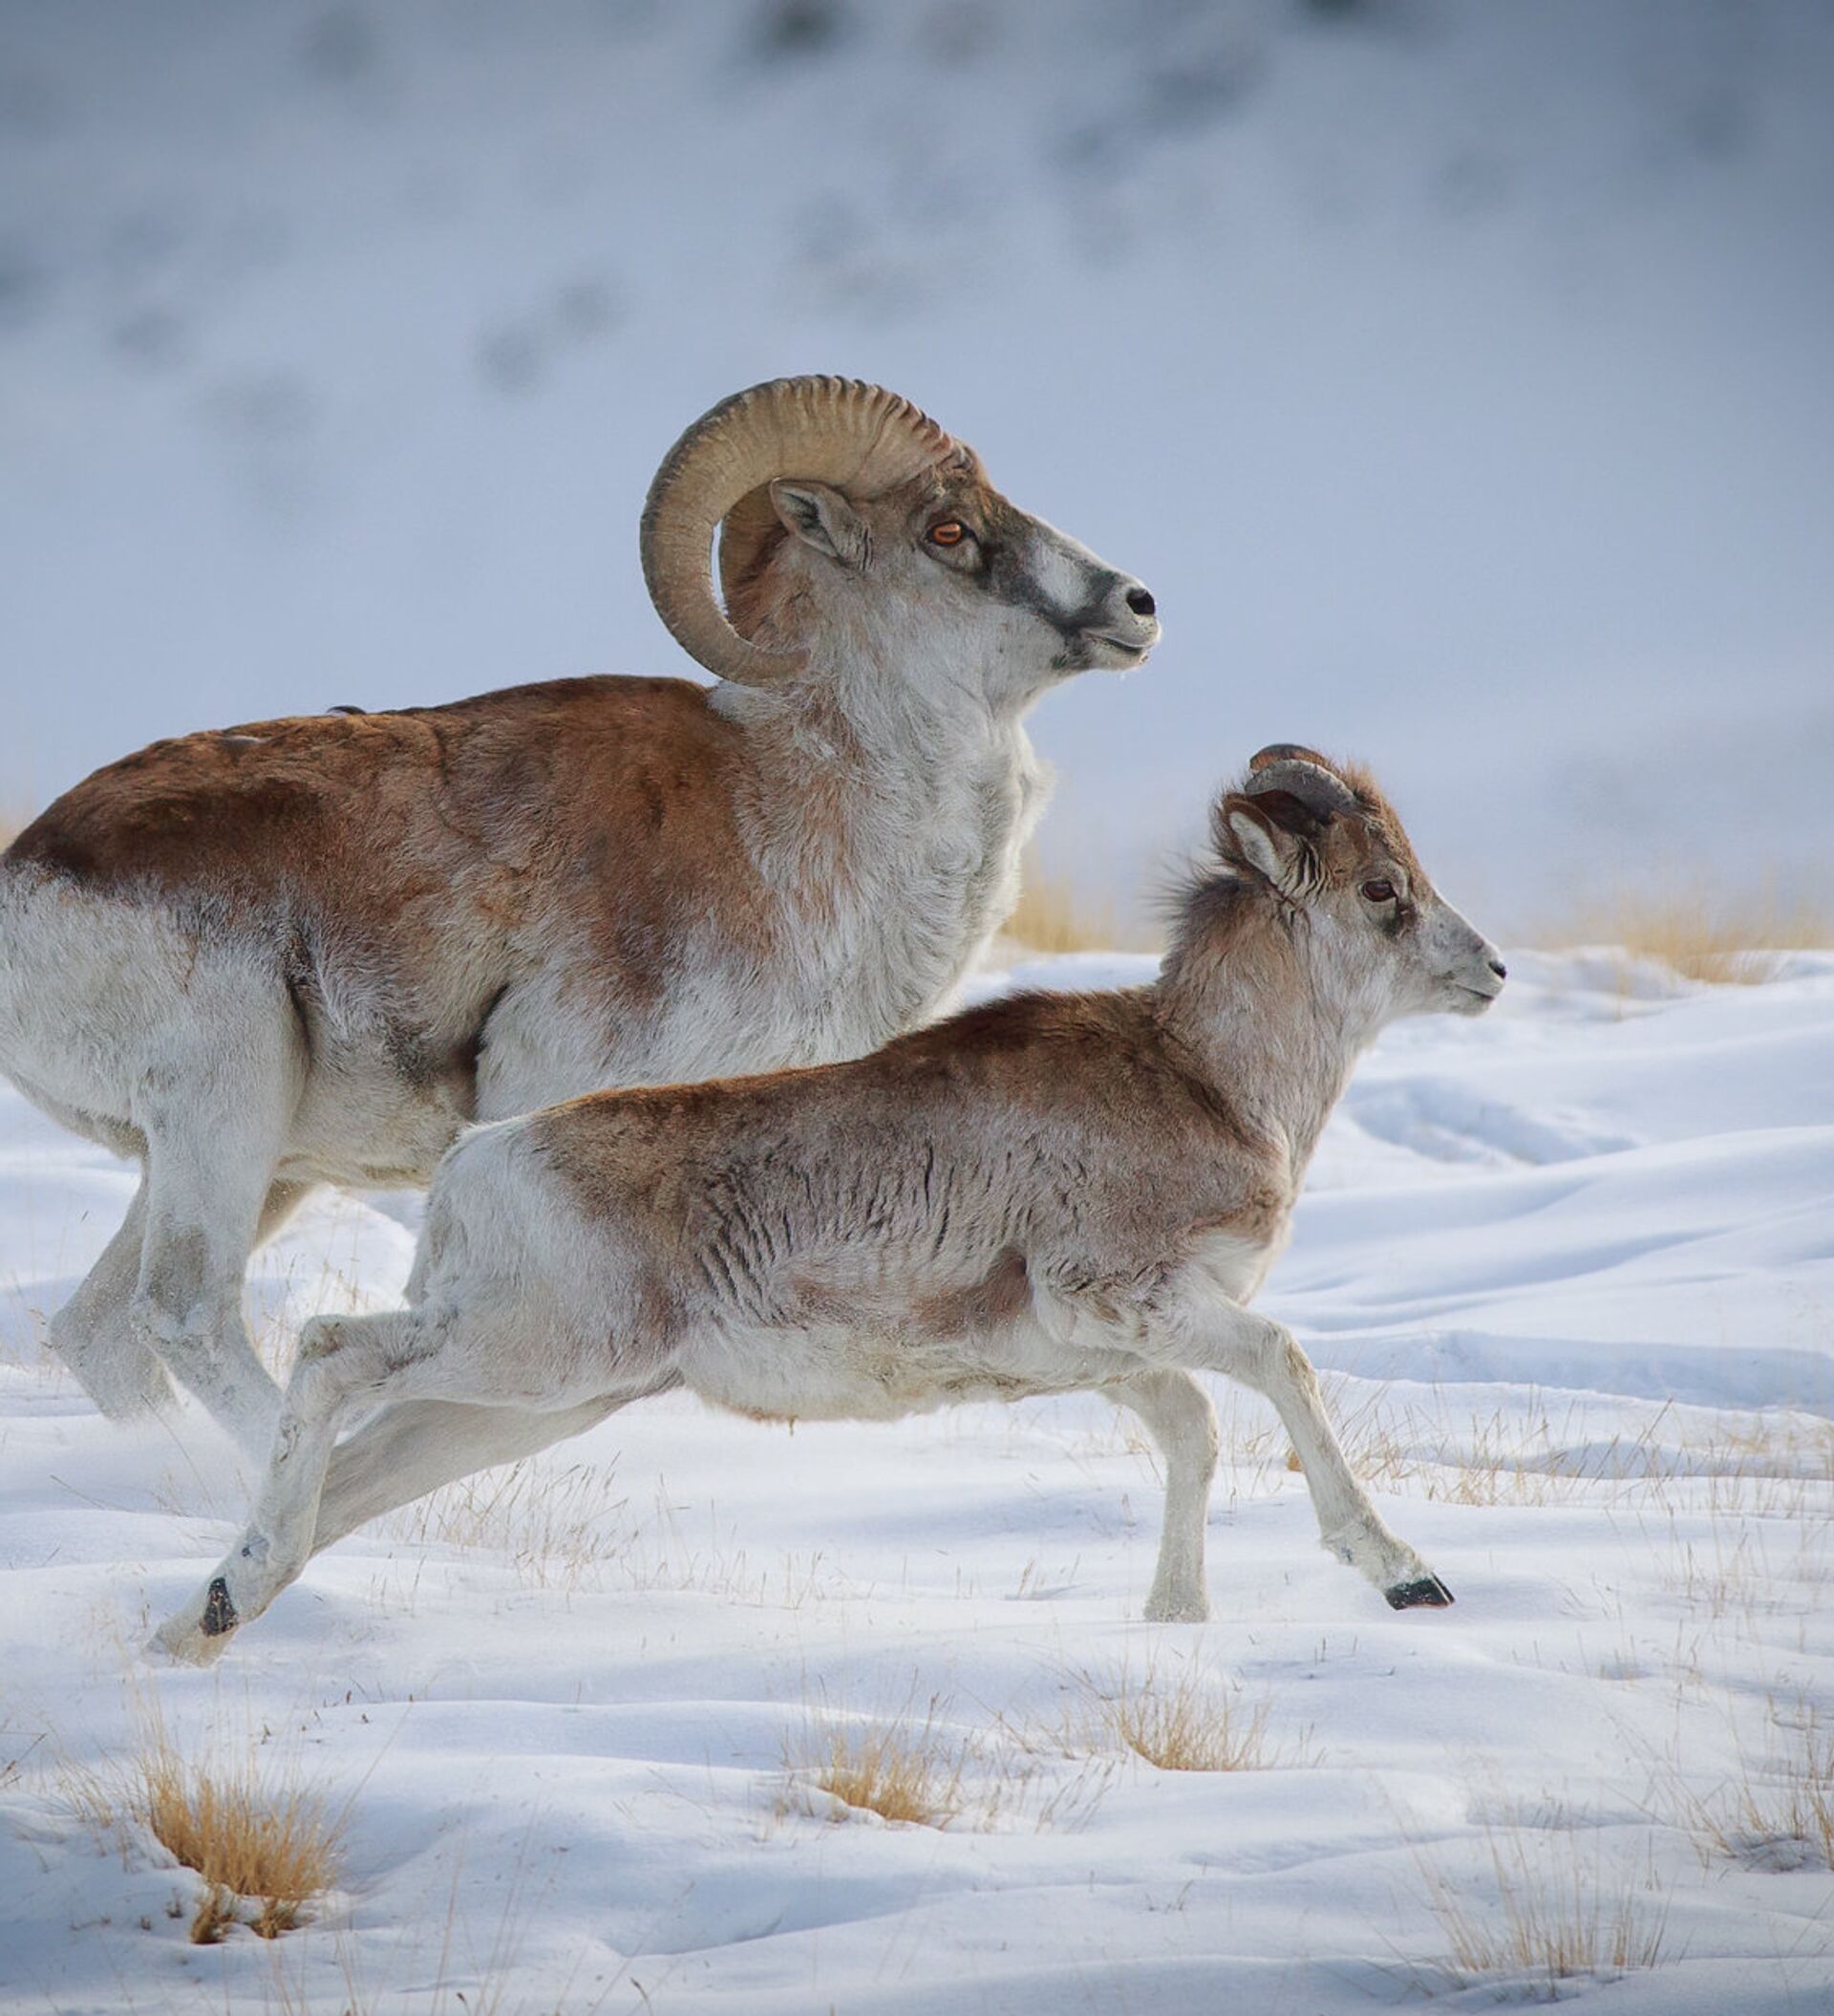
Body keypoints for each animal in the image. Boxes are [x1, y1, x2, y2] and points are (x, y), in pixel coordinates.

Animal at [0, 375, 1161, 1451]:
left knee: (104, 1335)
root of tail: (28, 876)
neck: (793, 808)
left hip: (261, 1159)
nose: (1138, 606)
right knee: (184, 1315)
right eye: (947, 530)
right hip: (227, 1104)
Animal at [154, 741, 1507, 1653]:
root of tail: (483, 1163)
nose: (1492, 970)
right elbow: (1282, 1366)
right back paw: (226, 1593)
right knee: (329, 1353)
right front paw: (1409, 1576)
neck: (1217, 1079)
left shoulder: (1109, 1353)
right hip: (528, 1353)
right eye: (1381, 893)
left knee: (354, 1477)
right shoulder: (1132, 1302)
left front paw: (1177, 1621)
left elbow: (1191, 1429)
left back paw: (207, 1618)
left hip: (525, 1404)